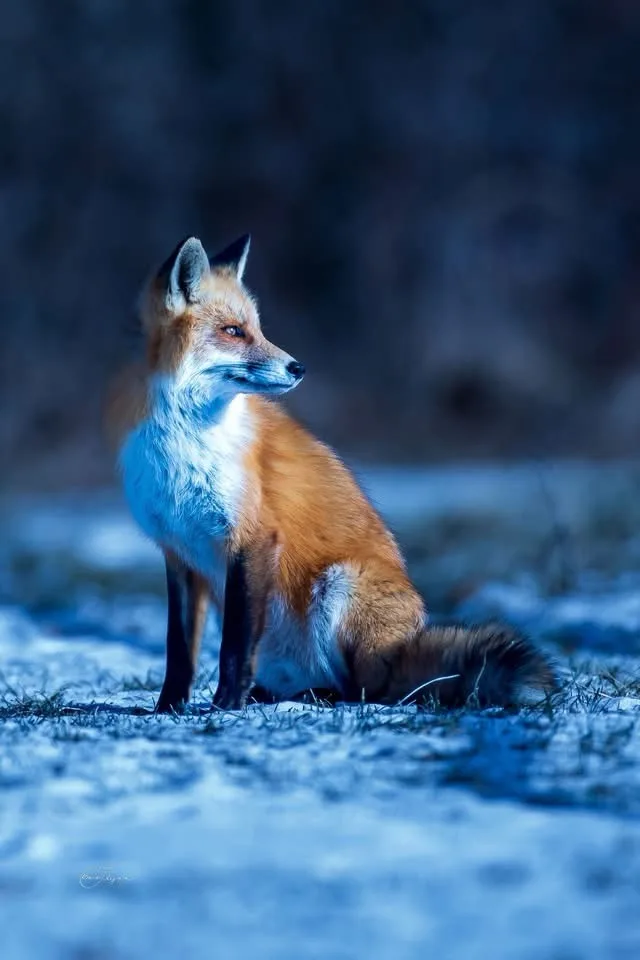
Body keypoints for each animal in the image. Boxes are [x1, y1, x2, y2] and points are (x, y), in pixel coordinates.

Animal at [107, 233, 556, 713]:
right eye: (233, 331)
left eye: (258, 329)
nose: (298, 367)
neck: (183, 444)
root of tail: (403, 651)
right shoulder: (178, 552)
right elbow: (179, 651)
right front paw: (167, 709)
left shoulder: (252, 538)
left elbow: (233, 646)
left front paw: (226, 705)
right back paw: (278, 696)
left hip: (339, 586)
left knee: (366, 689)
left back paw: (319, 697)